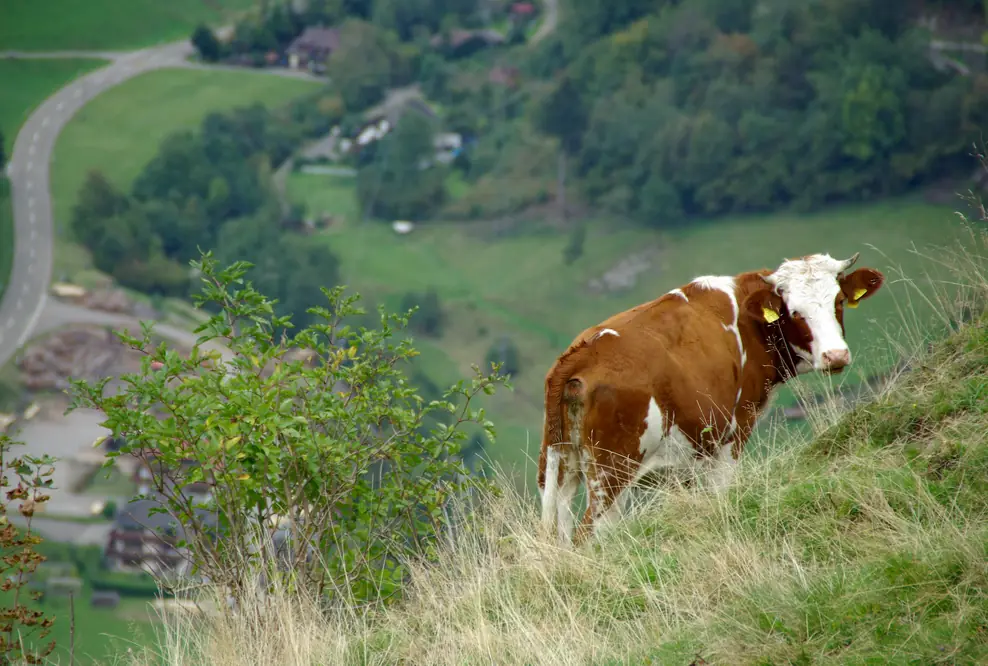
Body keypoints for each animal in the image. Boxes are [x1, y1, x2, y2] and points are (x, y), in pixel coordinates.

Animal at [538, 252, 885, 544]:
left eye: (838, 301)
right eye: (795, 312)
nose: (835, 355)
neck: (749, 324)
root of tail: (584, 350)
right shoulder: (733, 434)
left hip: (560, 465)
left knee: (561, 535)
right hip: (612, 472)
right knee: (589, 534)